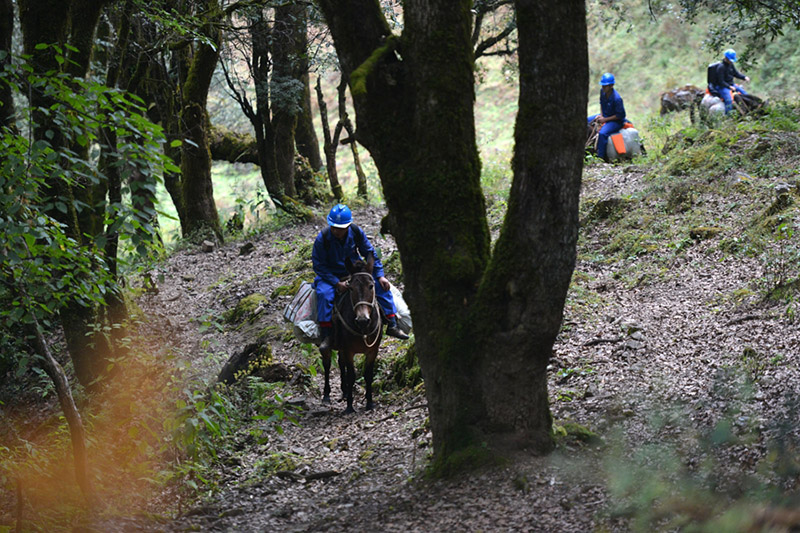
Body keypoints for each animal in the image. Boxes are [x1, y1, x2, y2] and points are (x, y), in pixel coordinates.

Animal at [320, 256, 382, 414]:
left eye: (371, 286)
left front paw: (369, 403)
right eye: (351, 288)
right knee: (327, 364)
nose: (362, 320)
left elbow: (368, 375)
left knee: (340, 363)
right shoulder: (349, 350)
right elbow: (351, 375)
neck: (363, 330)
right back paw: (327, 395)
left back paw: (344, 391)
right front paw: (349, 406)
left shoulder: (373, 350)